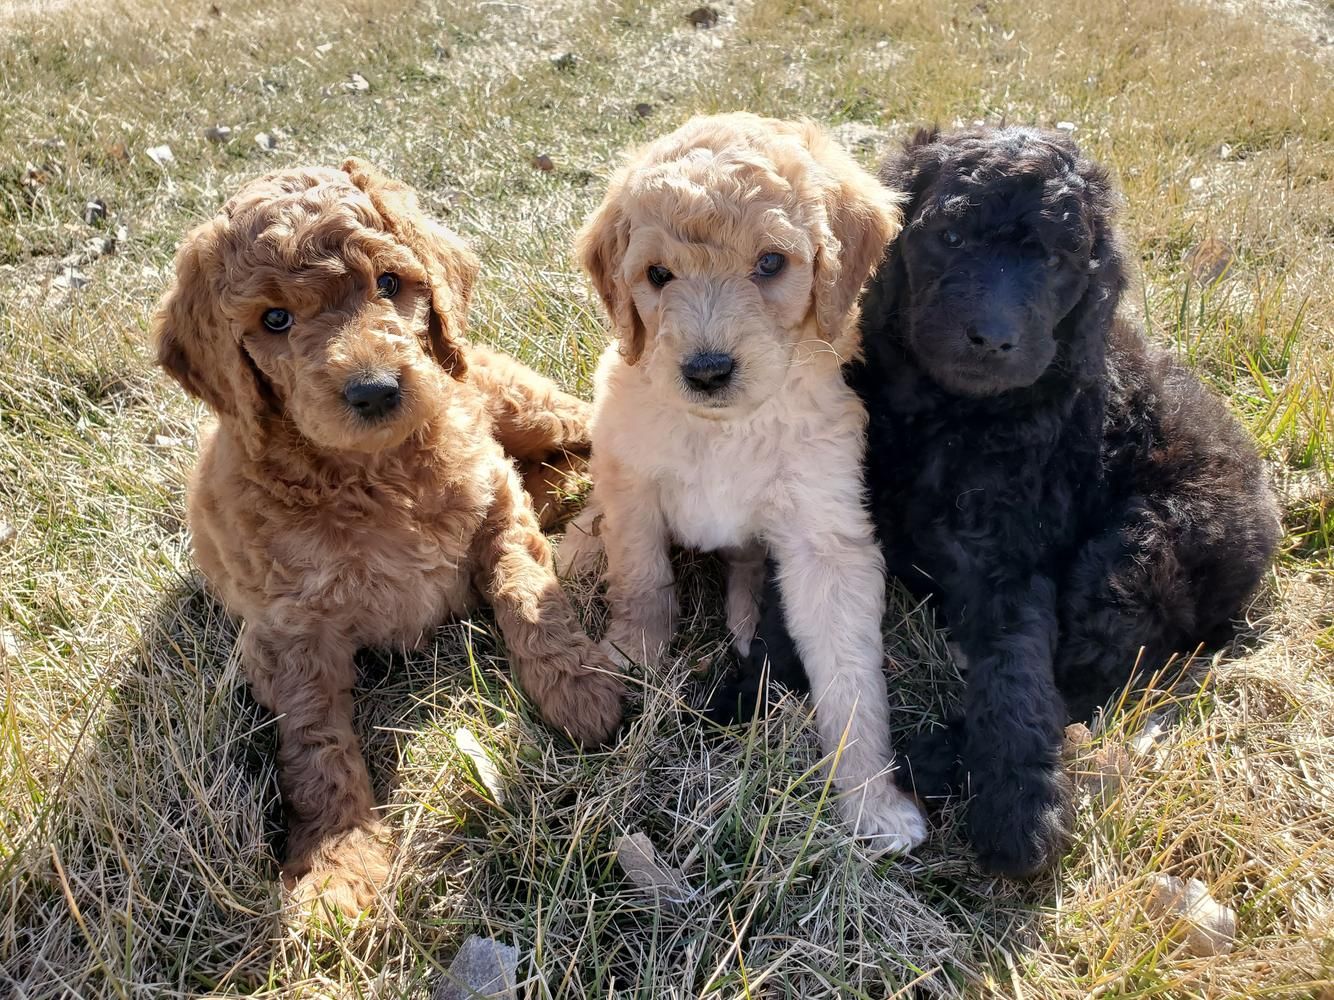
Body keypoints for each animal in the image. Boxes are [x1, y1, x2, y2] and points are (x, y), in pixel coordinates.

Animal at [153, 160, 621, 922]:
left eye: (391, 284)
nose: (374, 390)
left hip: (521, 404)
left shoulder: (496, 503)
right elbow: (316, 744)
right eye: (274, 319)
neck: (376, 471)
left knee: (586, 430)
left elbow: (529, 595)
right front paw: (338, 867)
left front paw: (578, 688)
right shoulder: (287, 633)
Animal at [570, 115, 928, 853]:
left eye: (770, 264)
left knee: (747, 567)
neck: (725, 429)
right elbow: (642, 577)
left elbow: (851, 675)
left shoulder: (828, 536)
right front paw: (632, 653)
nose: (707, 370)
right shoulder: (631, 483)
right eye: (657, 275)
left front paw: (870, 798)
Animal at [720, 123, 1280, 874]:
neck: (948, 414)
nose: (991, 338)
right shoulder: (836, 501)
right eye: (950, 238)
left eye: (1052, 259)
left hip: (1145, 548)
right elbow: (799, 608)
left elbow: (1016, 675)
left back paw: (933, 756)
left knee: (1088, 672)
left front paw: (1018, 808)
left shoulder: (1006, 556)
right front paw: (744, 690)